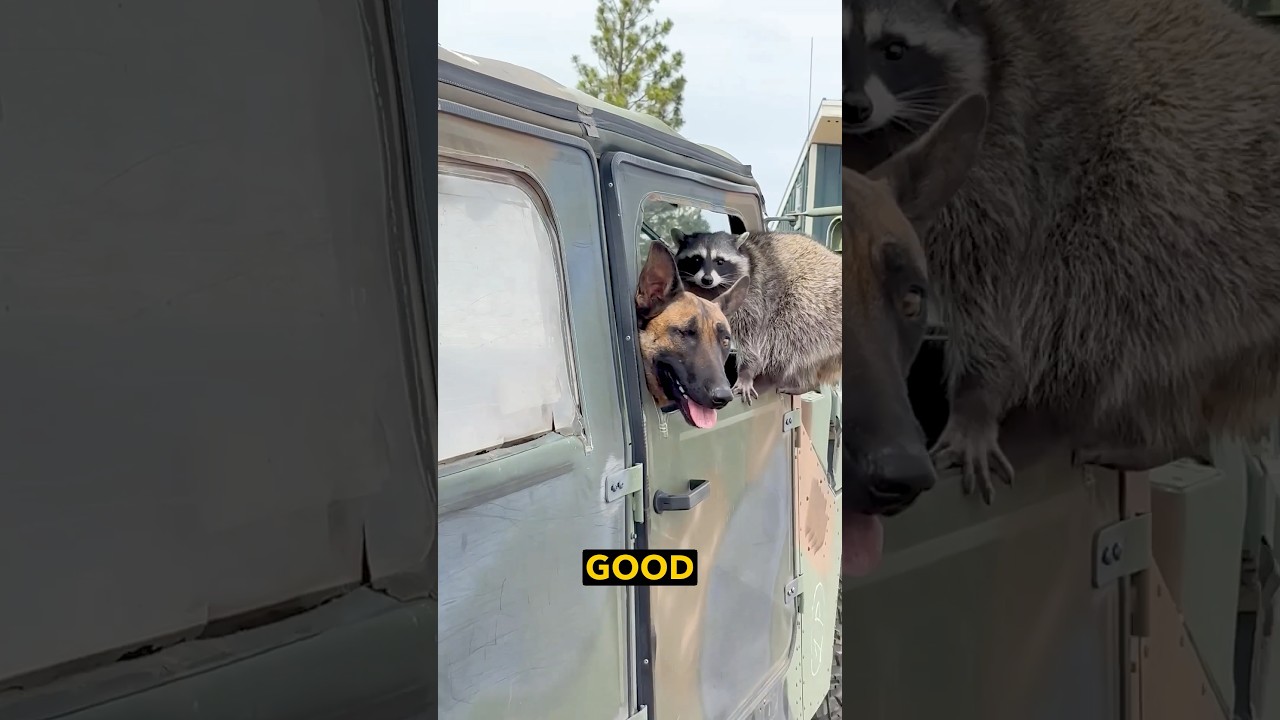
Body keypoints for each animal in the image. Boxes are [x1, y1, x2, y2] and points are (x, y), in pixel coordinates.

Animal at [670, 228, 842, 403]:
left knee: (786, 336)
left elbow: (751, 336)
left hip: (814, 304)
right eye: (696, 259)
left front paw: (746, 371)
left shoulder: (753, 293)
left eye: (720, 261)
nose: (707, 279)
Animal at [845, 0, 1280, 503]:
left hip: (1206, 194)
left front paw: (976, 400)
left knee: (1095, 281)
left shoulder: (1004, 148)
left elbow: (991, 288)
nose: (854, 107)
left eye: (893, 50)